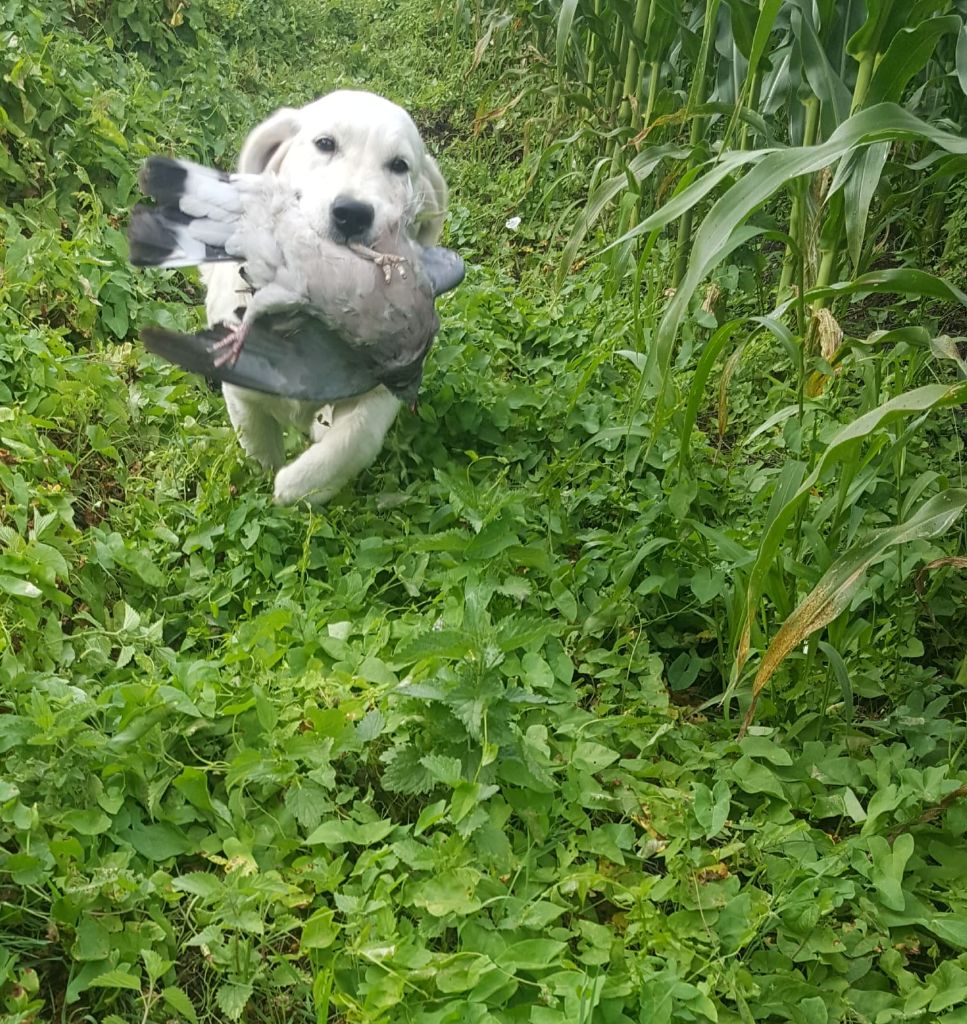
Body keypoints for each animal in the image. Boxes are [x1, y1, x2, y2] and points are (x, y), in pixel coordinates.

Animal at [202, 90, 448, 505]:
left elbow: (354, 438)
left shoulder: (383, 387)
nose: (352, 213)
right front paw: (263, 482)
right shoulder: (240, 381)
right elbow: (256, 435)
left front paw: (297, 486)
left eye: (399, 166)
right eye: (325, 143)